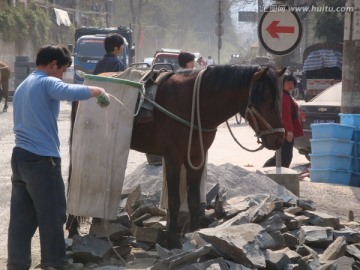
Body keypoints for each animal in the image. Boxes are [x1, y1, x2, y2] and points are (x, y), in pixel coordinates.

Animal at [66, 64, 286, 248]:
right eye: (264, 99)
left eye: (279, 99)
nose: (279, 139)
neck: (193, 104)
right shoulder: (173, 157)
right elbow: (174, 201)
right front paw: (172, 240)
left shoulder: (196, 157)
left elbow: (194, 200)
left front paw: (196, 233)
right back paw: (73, 228)